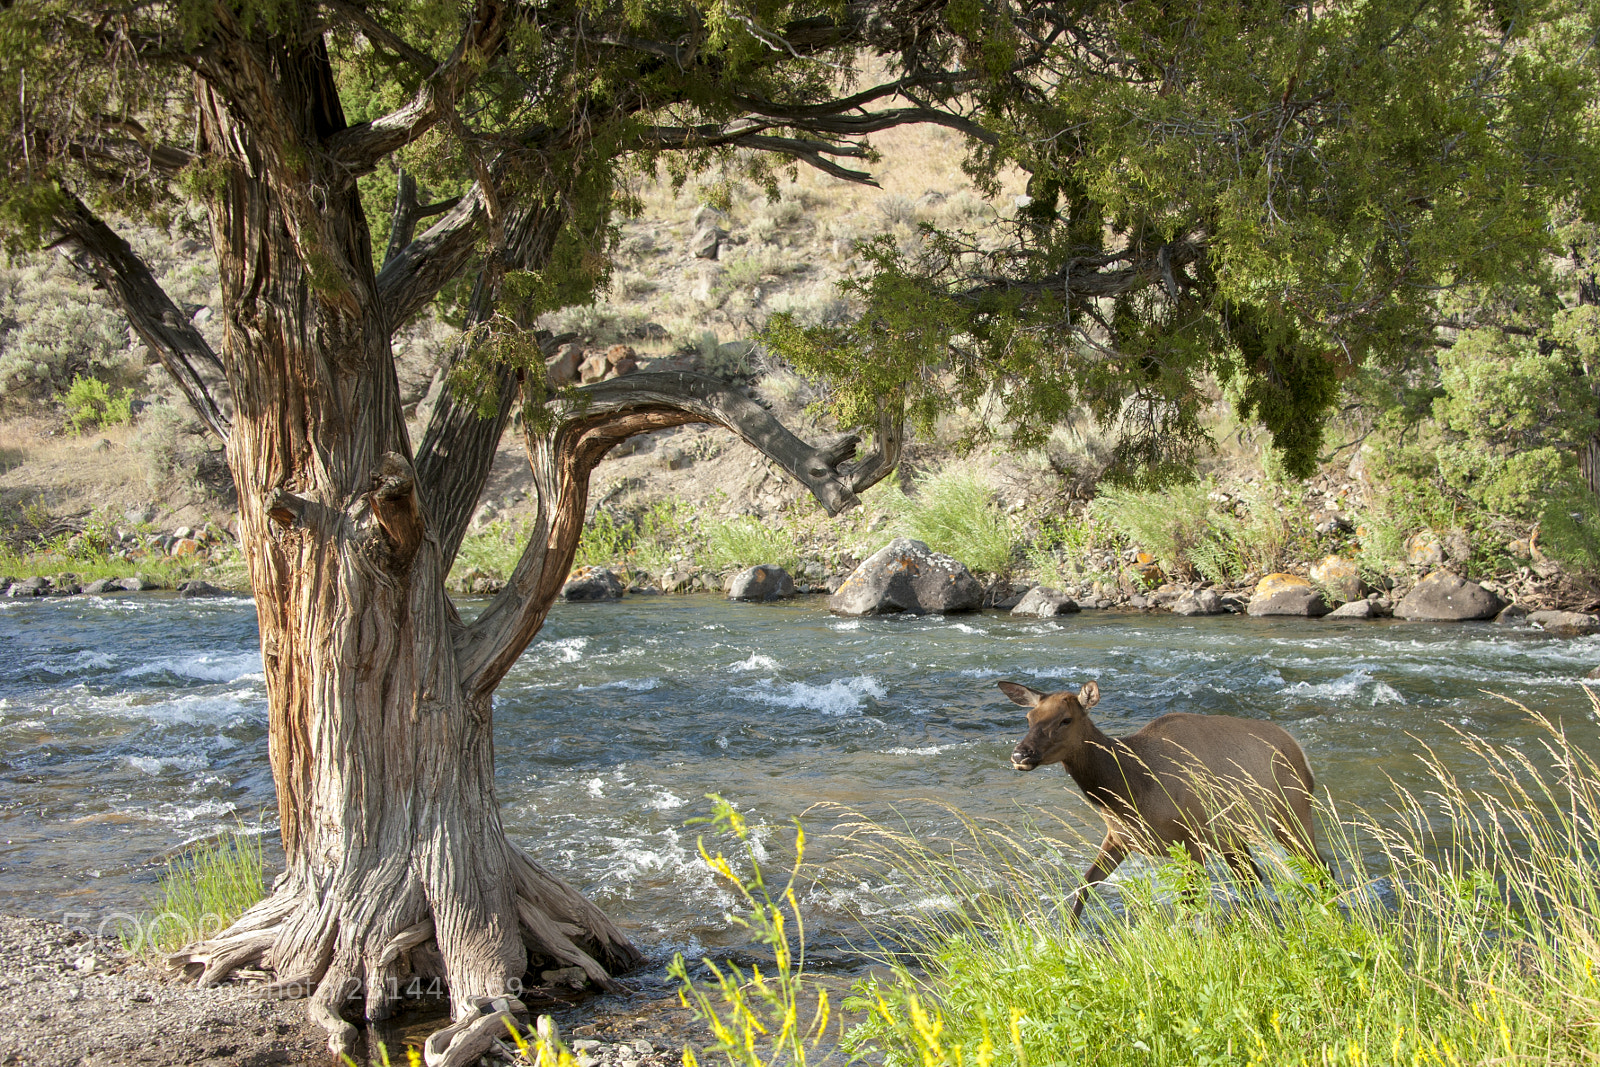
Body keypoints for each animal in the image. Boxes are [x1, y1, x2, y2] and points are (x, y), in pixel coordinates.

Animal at [1001, 679, 1324, 918]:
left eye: (1066, 719)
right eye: (1029, 718)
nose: (1020, 754)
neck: (1132, 792)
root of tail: (1301, 752)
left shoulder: (1193, 839)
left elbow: (1188, 902)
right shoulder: (1119, 837)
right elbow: (1084, 887)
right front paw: (1070, 938)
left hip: (1290, 813)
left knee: (1318, 866)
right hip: (1233, 834)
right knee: (1251, 876)